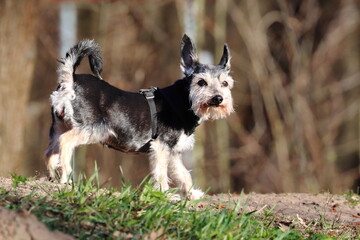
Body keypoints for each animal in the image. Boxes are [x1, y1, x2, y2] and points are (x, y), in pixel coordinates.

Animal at [44, 34, 233, 200]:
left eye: (225, 83)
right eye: (201, 82)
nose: (218, 98)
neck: (185, 99)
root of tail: (70, 81)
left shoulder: (173, 151)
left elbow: (183, 174)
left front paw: (192, 195)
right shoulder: (162, 146)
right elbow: (161, 174)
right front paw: (165, 195)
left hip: (58, 127)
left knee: (51, 152)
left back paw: (53, 179)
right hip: (91, 129)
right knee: (65, 142)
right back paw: (67, 178)